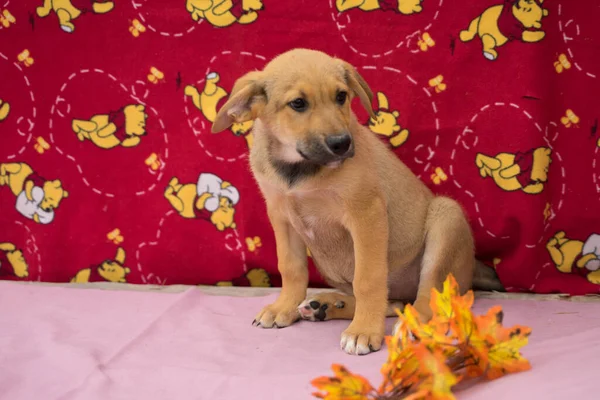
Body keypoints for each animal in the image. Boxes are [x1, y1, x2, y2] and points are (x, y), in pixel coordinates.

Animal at [211, 48, 502, 354]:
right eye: (298, 103)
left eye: (341, 96)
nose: (342, 143)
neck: (300, 170)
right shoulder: (282, 217)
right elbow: (291, 268)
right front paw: (284, 307)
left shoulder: (365, 215)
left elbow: (368, 279)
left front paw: (363, 330)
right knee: (394, 303)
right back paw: (325, 305)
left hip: (447, 218)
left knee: (427, 298)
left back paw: (411, 325)